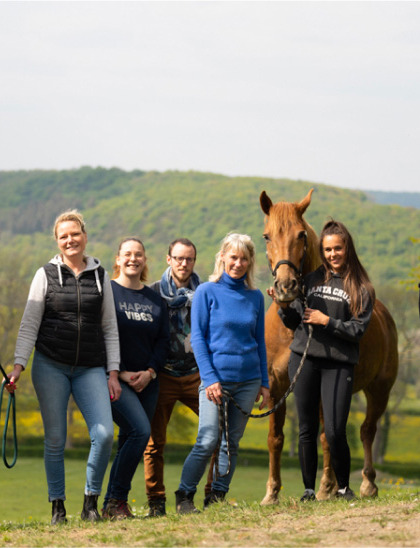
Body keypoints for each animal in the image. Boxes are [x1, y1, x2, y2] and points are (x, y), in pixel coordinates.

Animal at [260, 189, 400, 506]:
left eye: (301, 234)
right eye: (266, 236)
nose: (285, 287)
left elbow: (328, 437)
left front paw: (325, 487)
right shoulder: (276, 386)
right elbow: (276, 438)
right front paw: (272, 492)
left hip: (379, 390)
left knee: (365, 431)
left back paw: (365, 484)